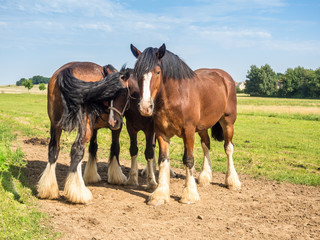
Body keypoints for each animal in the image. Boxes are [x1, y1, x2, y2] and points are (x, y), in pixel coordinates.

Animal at [37, 61, 131, 203]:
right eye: (123, 93)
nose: (114, 121)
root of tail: (66, 70)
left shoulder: (95, 128)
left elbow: (93, 147)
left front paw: (91, 175)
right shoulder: (116, 129)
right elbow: (115, 148)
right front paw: (117, 177)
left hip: (55, 124)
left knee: (53, 149)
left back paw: (48, 190)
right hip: (84, 125)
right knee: (77, 149)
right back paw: (78, 193)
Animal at [129, 44, 240, 205]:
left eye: (157, 72)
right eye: (137, 73)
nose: (145, 107)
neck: (176, 97)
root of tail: (224, 77)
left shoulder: (188, 132)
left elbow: (188, 159)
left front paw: (189, 194)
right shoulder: (161, 133)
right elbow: (163, 160)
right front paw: (160, 194)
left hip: (228, 122)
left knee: (228, 148)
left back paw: (232, 181)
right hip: (202, 127)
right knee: (206, 144)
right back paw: (205, 176)